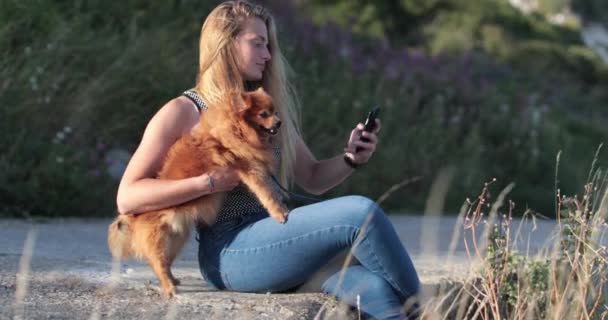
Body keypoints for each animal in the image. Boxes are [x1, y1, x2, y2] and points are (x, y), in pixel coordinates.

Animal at [107, 87, 290, 298]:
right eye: (264, 114)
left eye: (275, 111)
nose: (279, 122)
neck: (237, 129)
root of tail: (133, 217)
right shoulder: (249, 169)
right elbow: (267, 193)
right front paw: (280, 212)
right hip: (158, 239)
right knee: (157, 263)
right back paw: (169, 288)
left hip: (176, 239)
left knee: (166, 261)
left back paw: (173, 279)